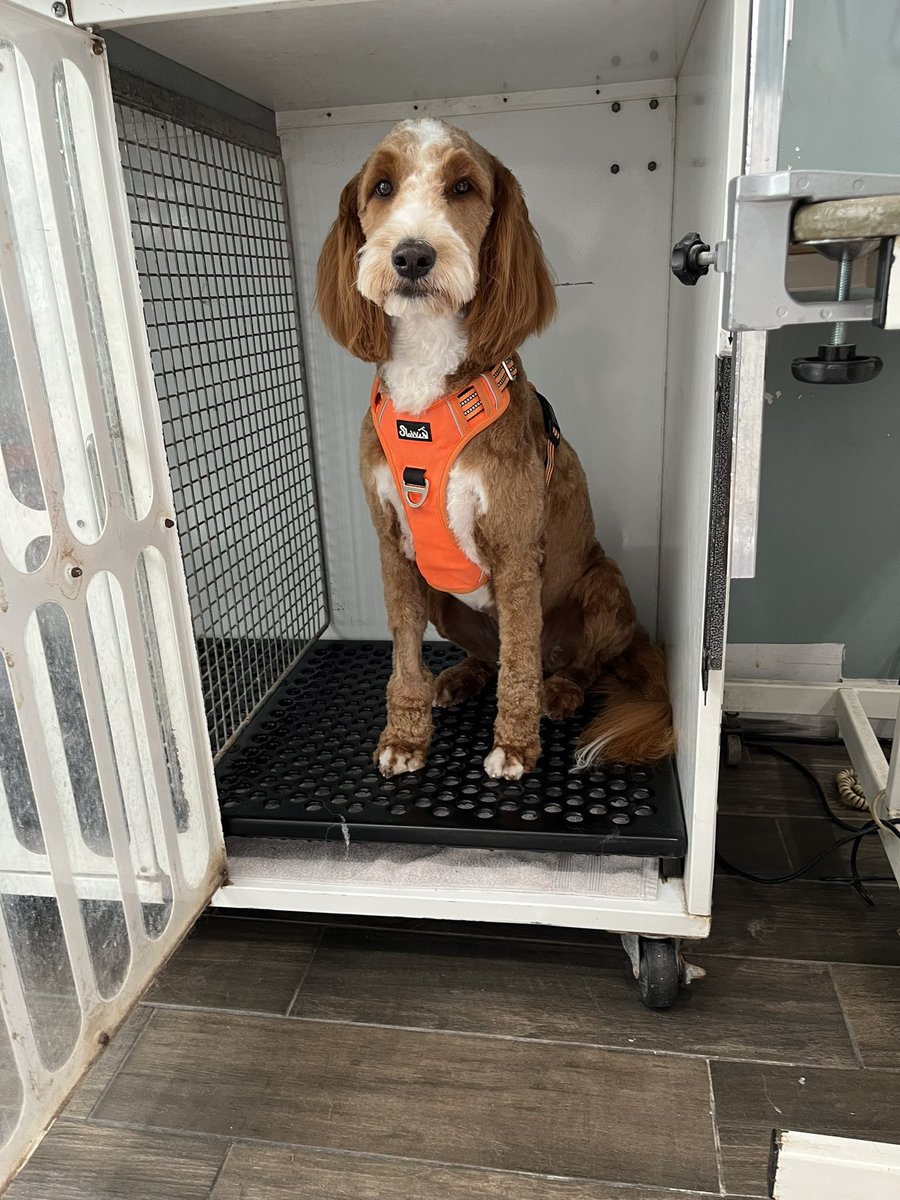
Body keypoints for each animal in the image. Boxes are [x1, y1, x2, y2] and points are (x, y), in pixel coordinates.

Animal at [314, 117, 672, 782]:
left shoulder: (515, 550)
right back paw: (458, 677)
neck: (428, 370)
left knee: (576, 663)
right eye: (382, 187)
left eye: (463, 187)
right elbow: (403, 659)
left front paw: (515, 746)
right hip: (446, 600)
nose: (412, 254)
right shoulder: (393, 548)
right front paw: (405, 737)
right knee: (489, 653)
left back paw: (562, 690)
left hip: (604, 586)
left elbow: (520, 667)